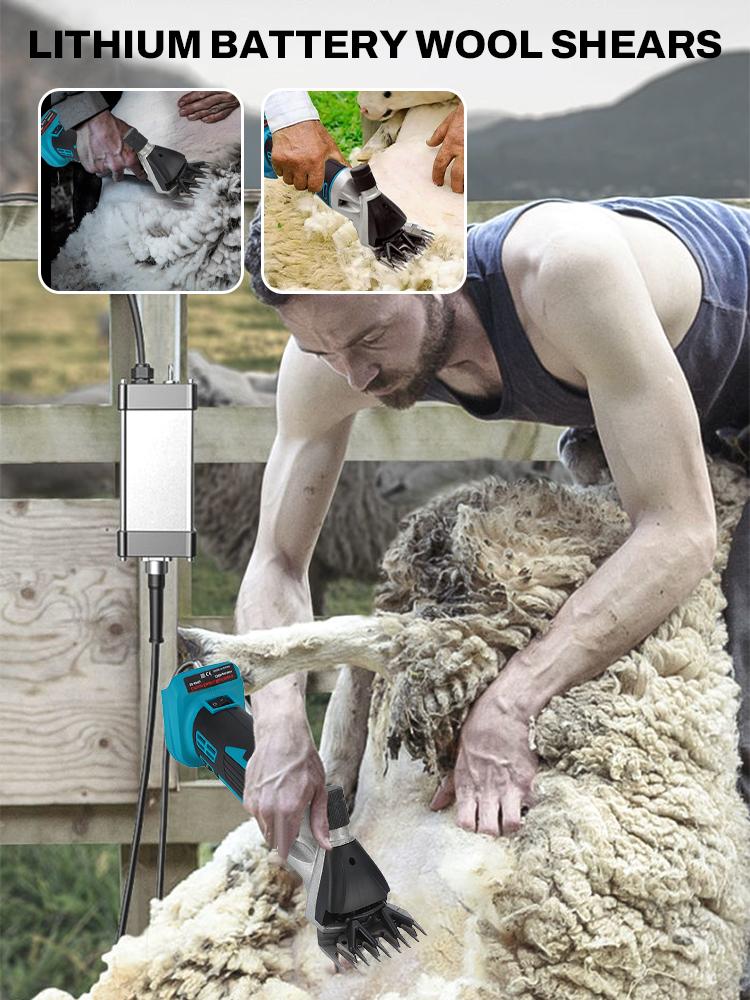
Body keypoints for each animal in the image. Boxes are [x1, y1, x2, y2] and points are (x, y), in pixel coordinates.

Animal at [34, 457, 750, 1000]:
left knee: (389, 646)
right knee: (384, 649)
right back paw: (236, 667)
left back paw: (238, 668)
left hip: (504, 606)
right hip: (511, 602)